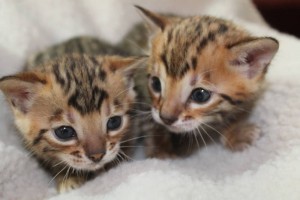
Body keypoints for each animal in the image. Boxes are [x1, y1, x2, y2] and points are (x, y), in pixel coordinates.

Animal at [135, 6, 280, 158]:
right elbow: (149, 121)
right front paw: (160, 151)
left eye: (200, 95)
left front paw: (235, 133)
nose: (166, 118)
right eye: (156, 84)